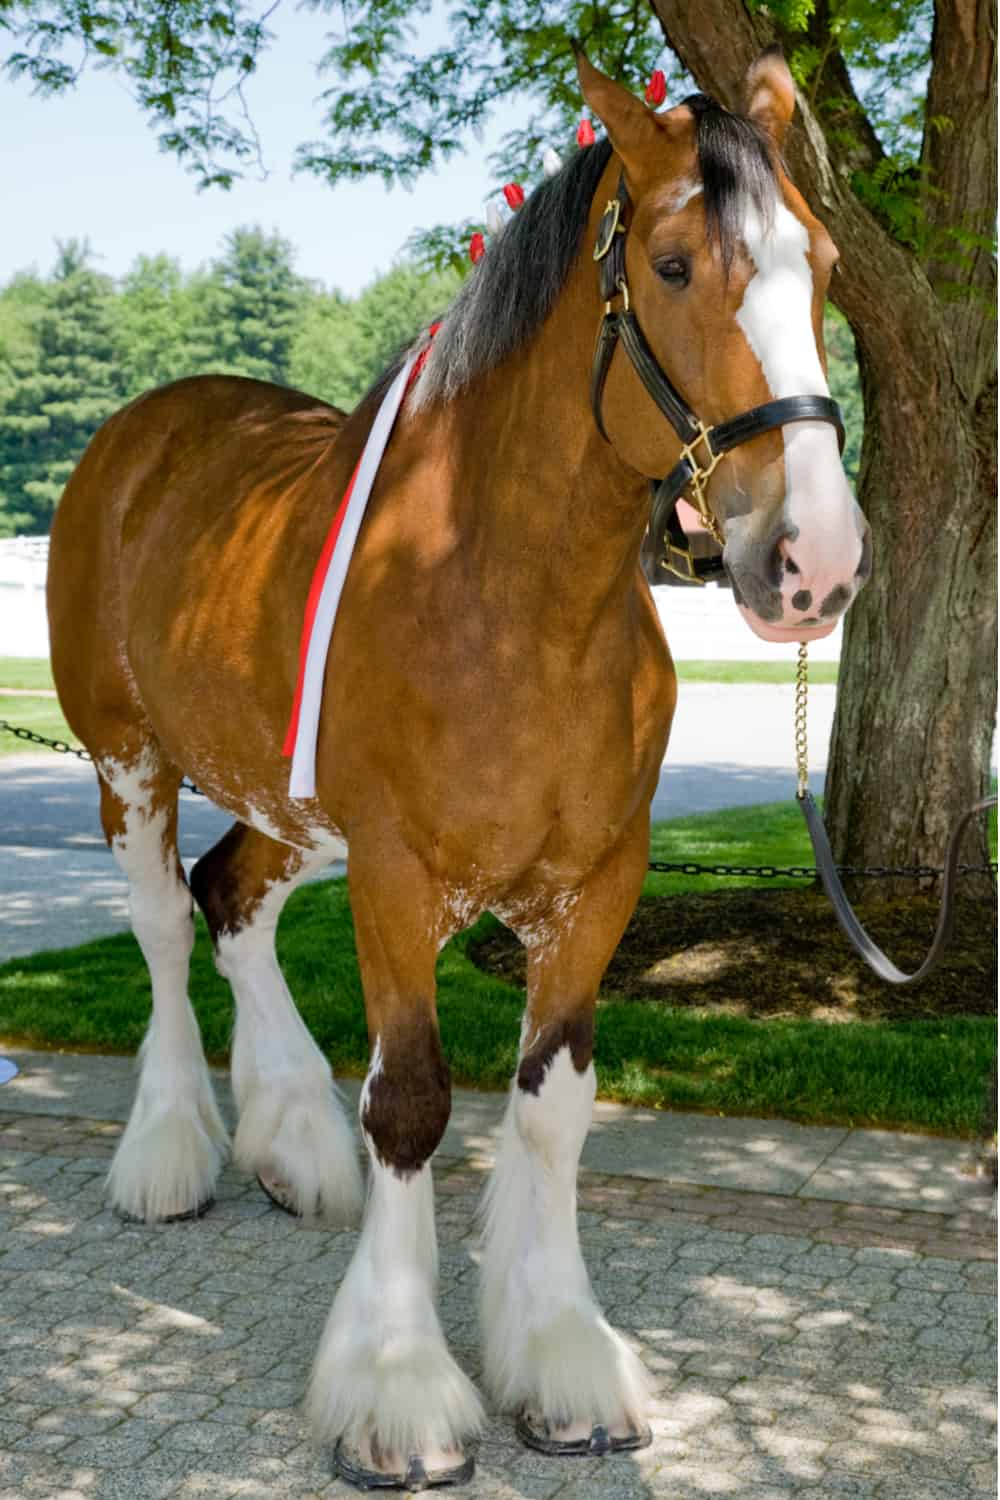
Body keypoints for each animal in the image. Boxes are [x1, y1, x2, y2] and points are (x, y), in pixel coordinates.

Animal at [47, 46, 869, 1491]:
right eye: (671, 265)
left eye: (819, 262)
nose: (811, 558)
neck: (509, 597)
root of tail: (151, 426)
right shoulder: (395, 874)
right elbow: (416, 1105)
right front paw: (396, 1387)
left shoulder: (596, 886)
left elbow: (549, 1109)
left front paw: (562, 1360)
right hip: (130, 762)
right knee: (162, 922)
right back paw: (170, 1152)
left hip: (286, 801)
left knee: (233, 900)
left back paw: (293, 1138)